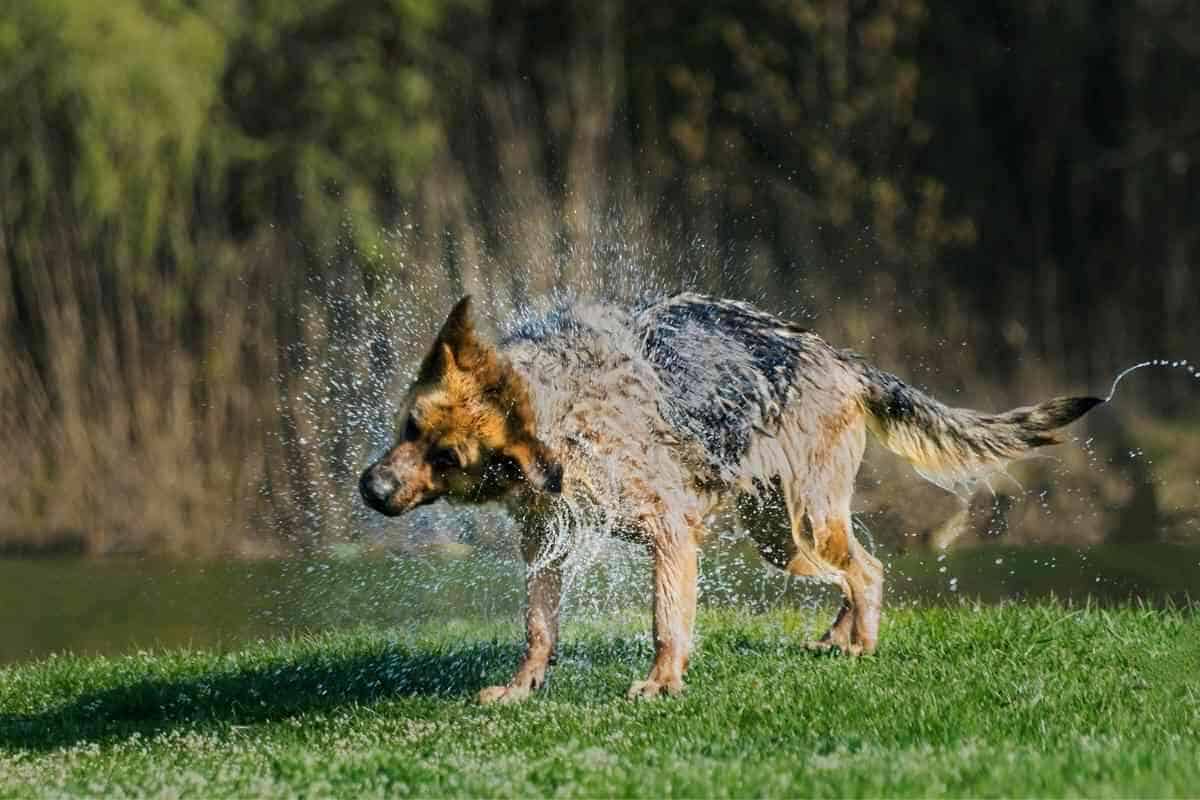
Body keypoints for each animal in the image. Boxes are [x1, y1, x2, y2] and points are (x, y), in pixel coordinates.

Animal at [360, 293, 1099, 700]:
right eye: (410, 428)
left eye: (448, 459)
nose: (370, 489)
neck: (556, 416)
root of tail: (844, 360)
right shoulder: (547, 546)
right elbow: (539, 627)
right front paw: (522, 688)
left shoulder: (669, 536)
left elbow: (666, 622)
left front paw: (663, 684)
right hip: (781, 536)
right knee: (854, 572)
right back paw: (839, 637)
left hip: (807, 521)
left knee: (868, 571)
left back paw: (861, 646)